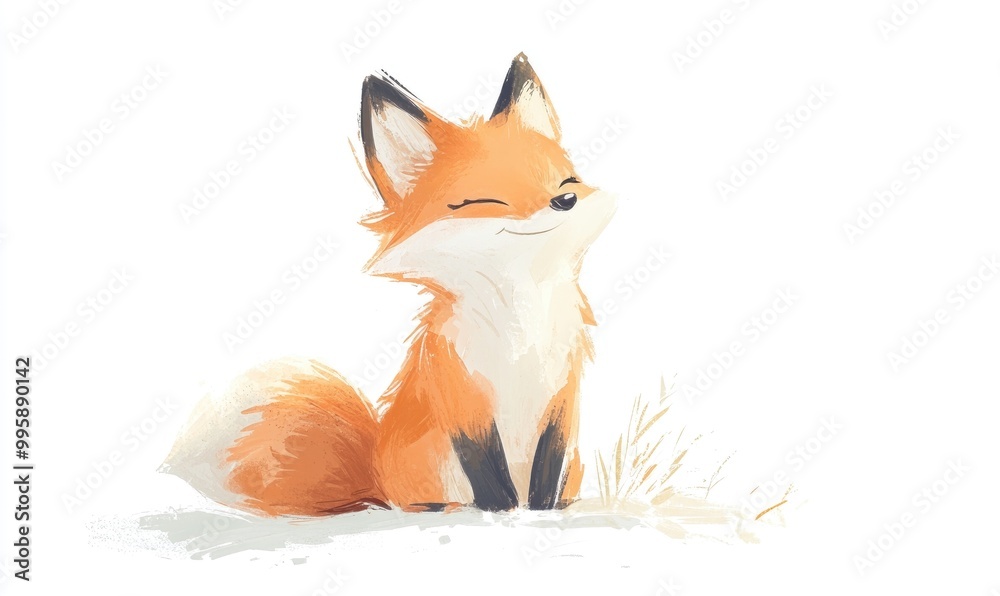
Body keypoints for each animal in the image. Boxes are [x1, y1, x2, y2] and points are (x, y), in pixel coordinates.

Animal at [161, 53, 617, 516]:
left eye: (566, 182)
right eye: (486, 201)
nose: (564, 201)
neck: (520, 326)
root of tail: (376, 473)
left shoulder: (562, 399)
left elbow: (548, 468)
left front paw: (542, 512)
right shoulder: (462, 400)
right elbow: (486, 471)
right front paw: (502, 512)